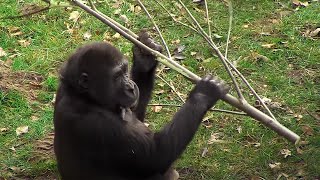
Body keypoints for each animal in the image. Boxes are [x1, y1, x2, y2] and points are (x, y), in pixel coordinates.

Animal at [53, 30, 229, 179]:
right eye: (117, 77)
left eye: (125, 71)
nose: (131, 87)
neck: (85, 96)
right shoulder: (100, 124)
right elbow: (157, 155)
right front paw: (203, 94)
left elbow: (135, 112)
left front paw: (144, 58)